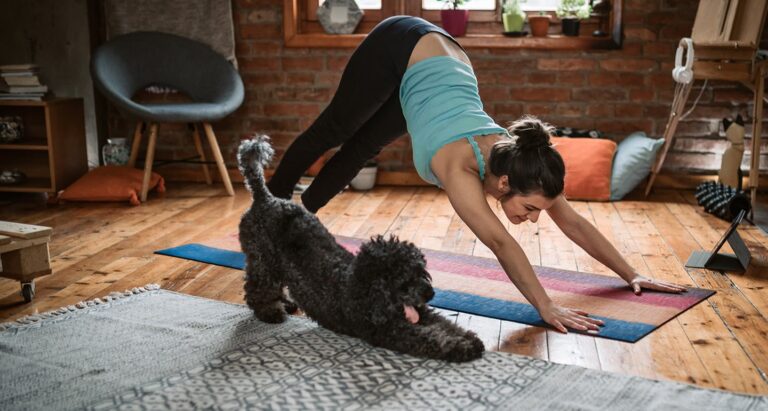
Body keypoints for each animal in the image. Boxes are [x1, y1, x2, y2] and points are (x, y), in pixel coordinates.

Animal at [237, 135, 484, 362]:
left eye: (422, 272)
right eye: (405, 280)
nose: (430, 293)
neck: (363, 286)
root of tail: (264, 198)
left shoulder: (420, 312)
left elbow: (445, 324)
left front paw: (468, 337)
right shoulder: (390, 331)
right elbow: (430, 338)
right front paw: (461, 347)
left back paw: (286, 303)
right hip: (262, 260)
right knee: (256, 289)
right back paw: (270, 311)